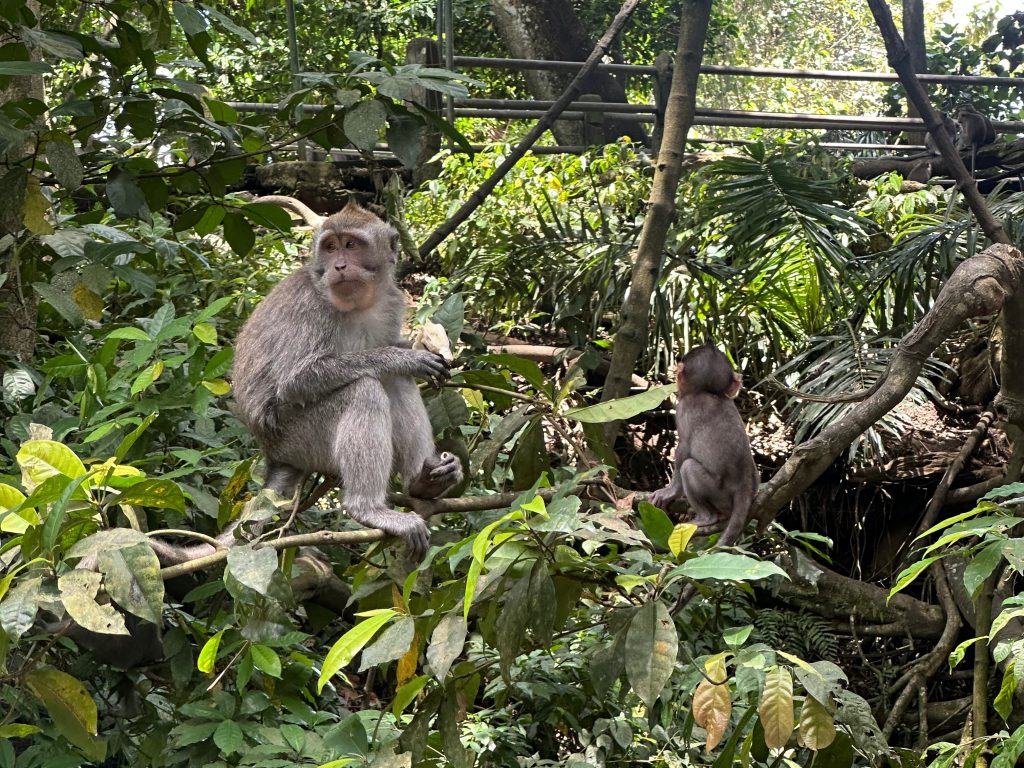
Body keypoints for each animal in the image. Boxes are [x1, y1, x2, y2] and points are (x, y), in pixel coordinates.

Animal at [650, 345, 759, 546]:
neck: (708, 392)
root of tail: (744, 486)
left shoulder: (683, 408)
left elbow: (683, 449)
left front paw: (670, 491)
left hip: (719, 494)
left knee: (688, 467)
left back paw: (706, 517)